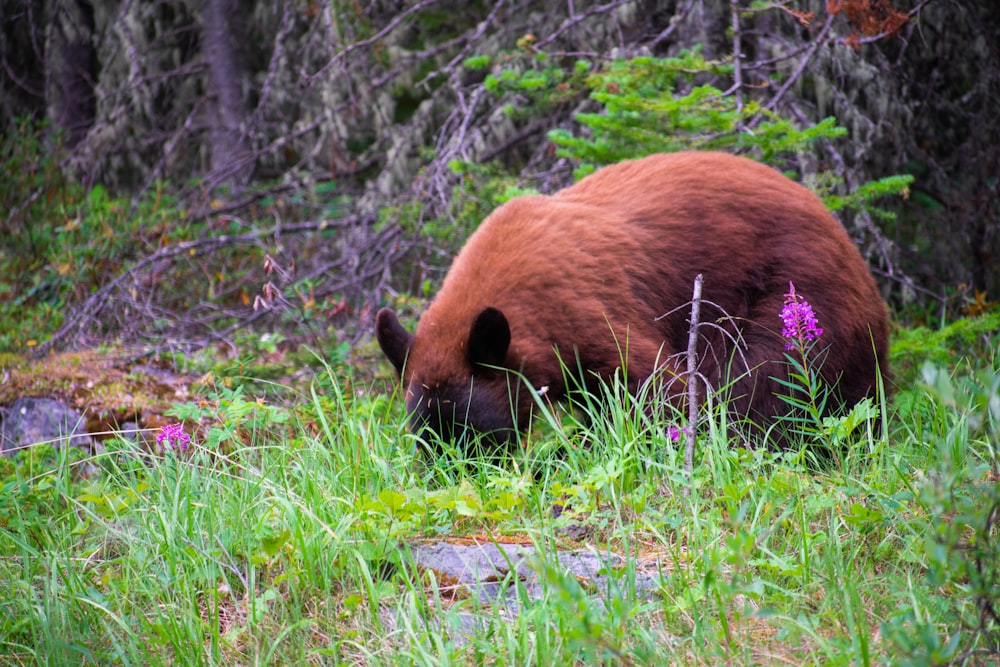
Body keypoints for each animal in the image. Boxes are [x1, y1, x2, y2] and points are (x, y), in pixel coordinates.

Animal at [376, 153, 892, 448]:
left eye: (476, 432)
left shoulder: (591, 313)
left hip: (796, 292)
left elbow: (659, 390)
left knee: (768, 381)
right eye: (424, 438)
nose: (458, 474)